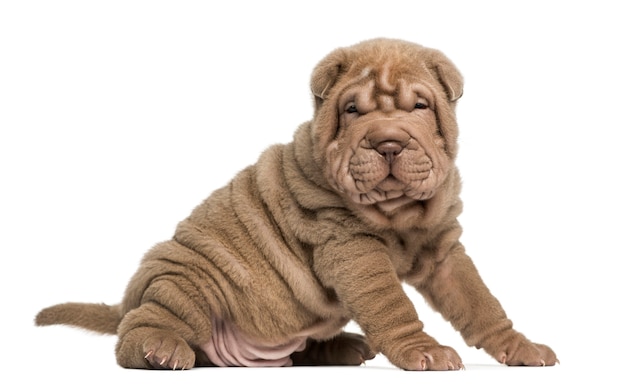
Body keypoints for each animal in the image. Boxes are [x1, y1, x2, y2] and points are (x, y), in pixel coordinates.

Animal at [35, 37, 556, 370]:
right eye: (353, 110)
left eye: (420, 107)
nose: (387, 142)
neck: (398, 213)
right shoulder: (352, 249)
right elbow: (393, 304)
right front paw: (422, 351)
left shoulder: (443, 248)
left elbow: (480, 301)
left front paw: (521, 347)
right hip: (186, 280)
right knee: (142, 327)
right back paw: (158, 350)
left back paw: (344, 348)